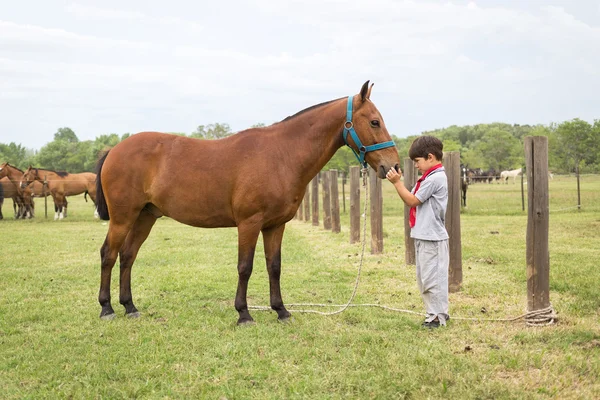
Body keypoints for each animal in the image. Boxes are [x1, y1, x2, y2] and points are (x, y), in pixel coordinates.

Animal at [96, 79, 400, 324]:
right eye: (374, 121)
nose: (393, 166)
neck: (282, 155)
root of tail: (114, 150)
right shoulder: (249, 223)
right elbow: (245, 267)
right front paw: (243, 314)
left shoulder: (275, 225)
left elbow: (274, 267)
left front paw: (281, 311)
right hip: (123, 218)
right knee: (109, 254)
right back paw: (107, 309)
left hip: (145, 216)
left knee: (128, 256)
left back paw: (130, 307)